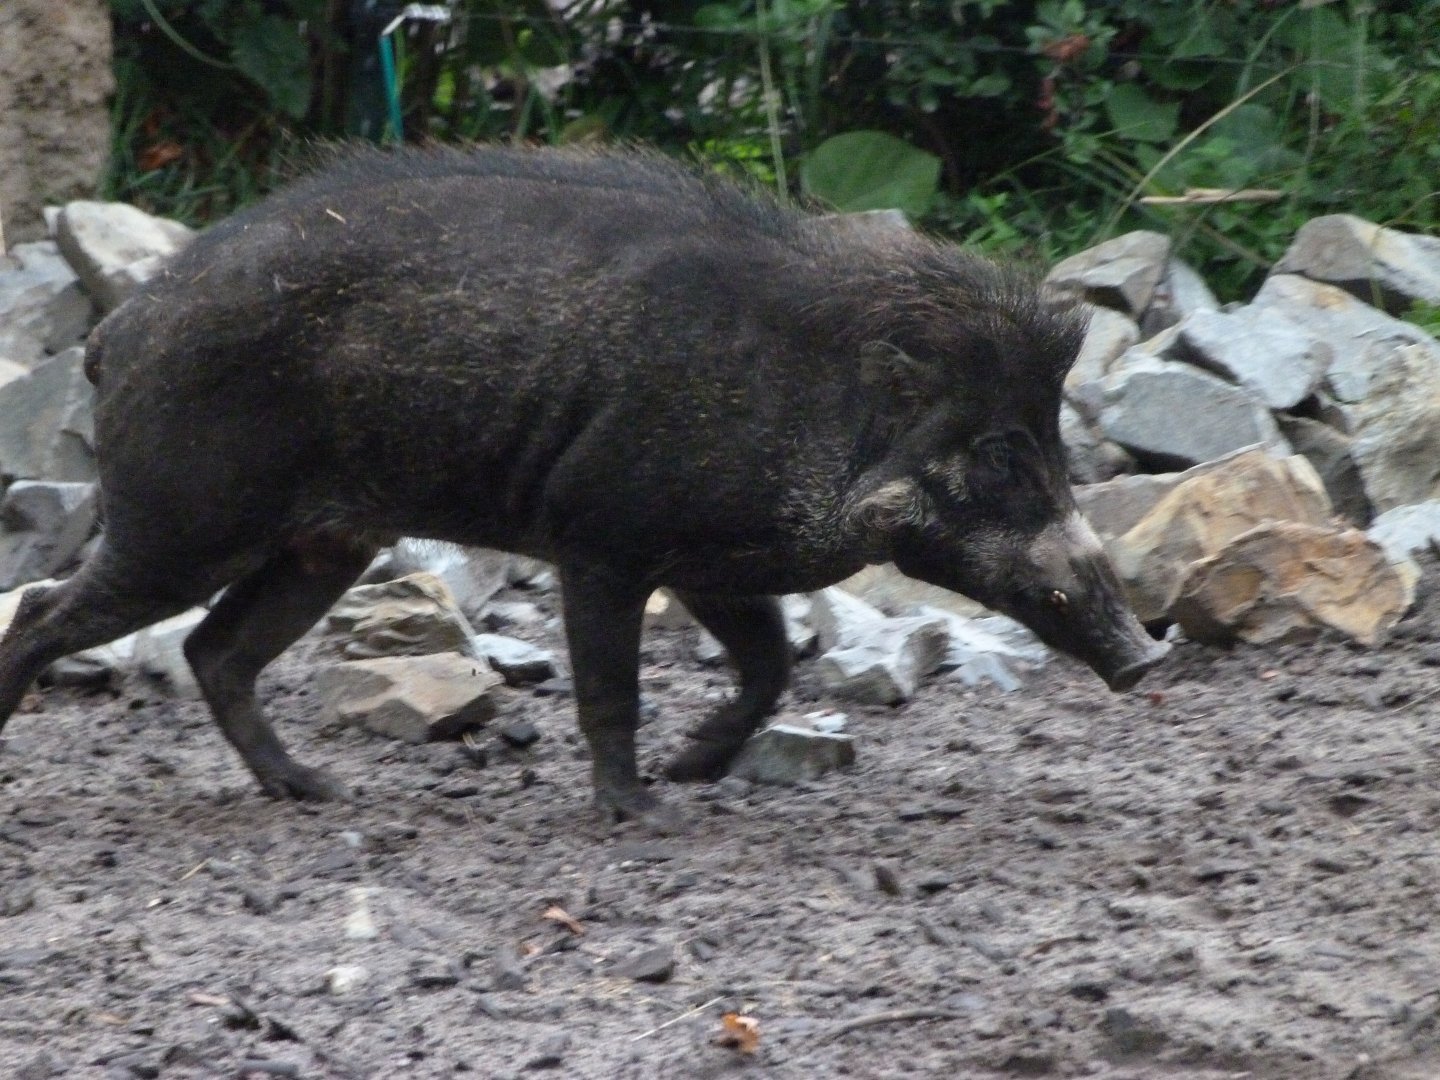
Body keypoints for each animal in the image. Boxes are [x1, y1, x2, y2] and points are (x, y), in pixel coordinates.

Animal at [0, 145, 1167, 825]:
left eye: (1051, 437)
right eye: (1002, 452)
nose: (1149, 660)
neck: (823, 404)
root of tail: (117, 330)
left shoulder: (715, 562)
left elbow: (769, 666)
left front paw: (693, 776)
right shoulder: (601, 542)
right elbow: (612, 688)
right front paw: (639, 815)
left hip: (323, 546)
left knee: (215, 650)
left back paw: (322, 792)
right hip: (181, 523)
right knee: (50, 613)